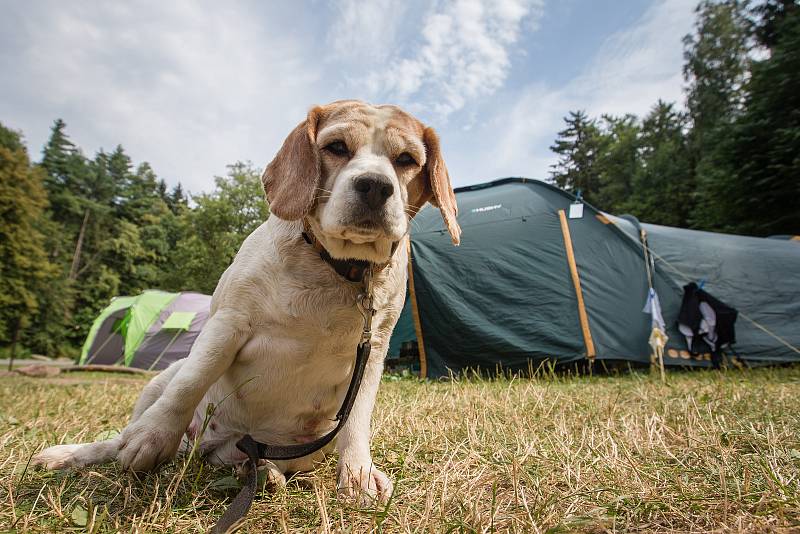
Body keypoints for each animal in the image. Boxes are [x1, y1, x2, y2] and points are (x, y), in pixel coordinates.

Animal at [32, 100, 462, 506]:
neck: (335, 266)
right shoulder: (228, 322)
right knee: (131, 425)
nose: (374, 185)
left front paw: (358, 474)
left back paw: (263, 473)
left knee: (253, 461)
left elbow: (357, 420)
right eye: (337, 147)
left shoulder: (372, 351)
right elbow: (190, 384)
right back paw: (73, 454)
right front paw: (153, 436)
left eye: (405, 159)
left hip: (309, 443)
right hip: (160, 378)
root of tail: (203, 447)